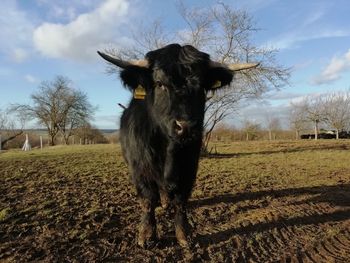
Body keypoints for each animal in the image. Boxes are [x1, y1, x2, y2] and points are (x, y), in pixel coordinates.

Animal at [98, 43, 258, 250]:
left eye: (202, 86)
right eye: (159, 83)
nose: (186, 126)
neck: (168, 151)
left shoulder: (189, 167)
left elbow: (181, 200)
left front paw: (184, 235)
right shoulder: (140, 168)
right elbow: (148, 200)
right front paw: (146, 236)